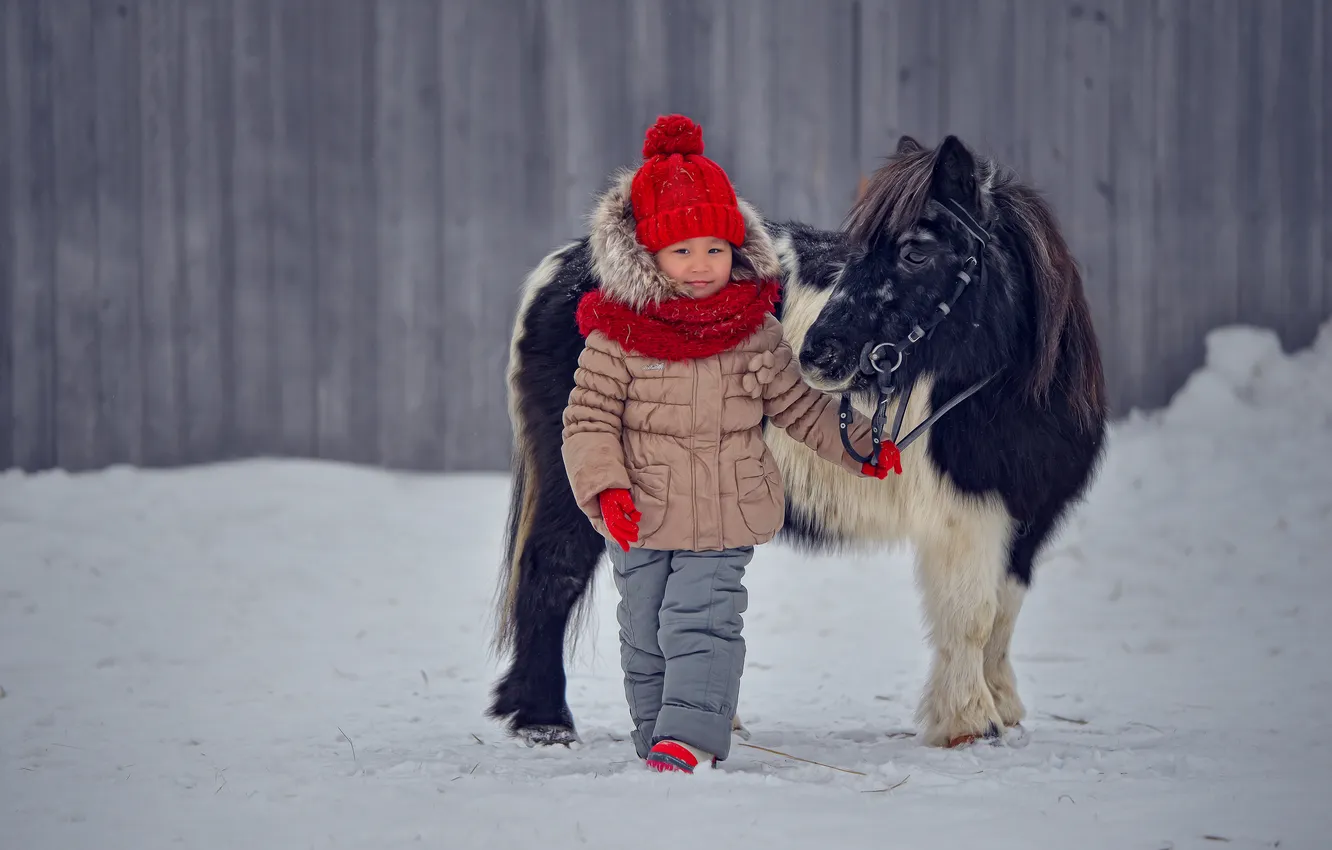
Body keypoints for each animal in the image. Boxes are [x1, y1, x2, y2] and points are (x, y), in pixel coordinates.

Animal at [487, 133, 1108, 750]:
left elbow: (1005, 612)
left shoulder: (1028, 516)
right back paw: (544, 721)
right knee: (553, 571)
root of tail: (562, 270)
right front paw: (969, 722)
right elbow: (973, 614)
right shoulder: (965, 512)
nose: (817, 354)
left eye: (915, 252)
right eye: (855, 253)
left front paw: (1003, 707)